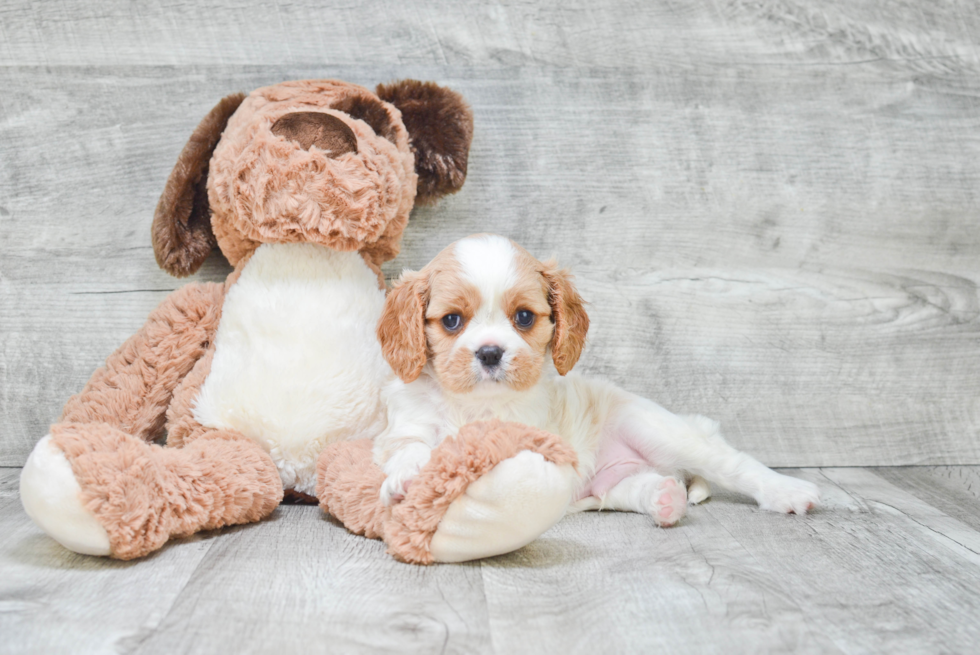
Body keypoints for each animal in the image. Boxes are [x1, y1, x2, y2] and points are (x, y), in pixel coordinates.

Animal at [372, 233, 816, 524]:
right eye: (451, 321)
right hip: (611, 485)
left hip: (659, 430)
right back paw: (665, 500)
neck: (474, 405)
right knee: (638, 488)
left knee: (733, 464)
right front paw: (410, 478)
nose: (490, 353)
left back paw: (789, 492)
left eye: (524, 317)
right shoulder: (406, 428)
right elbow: (411, 448)